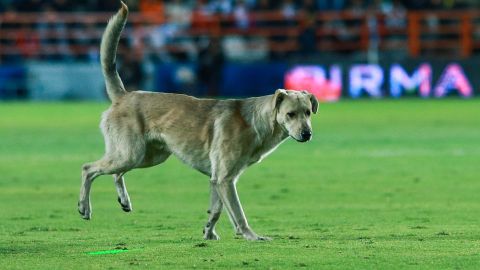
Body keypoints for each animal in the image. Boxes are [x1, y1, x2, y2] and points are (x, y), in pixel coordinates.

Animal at [79, 2, 318, 240]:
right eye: (290, 114)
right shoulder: (225, 179)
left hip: (148, 156)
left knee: (115, 173)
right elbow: (238, 214)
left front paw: (209, 233)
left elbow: (216, 211)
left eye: (307, 112)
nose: (307, 134)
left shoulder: (218, 179)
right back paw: (84, 207)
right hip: (131, 154)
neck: (253, 122)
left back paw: (124, 201)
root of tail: (124, 95)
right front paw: (251, 236)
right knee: (88, 168)